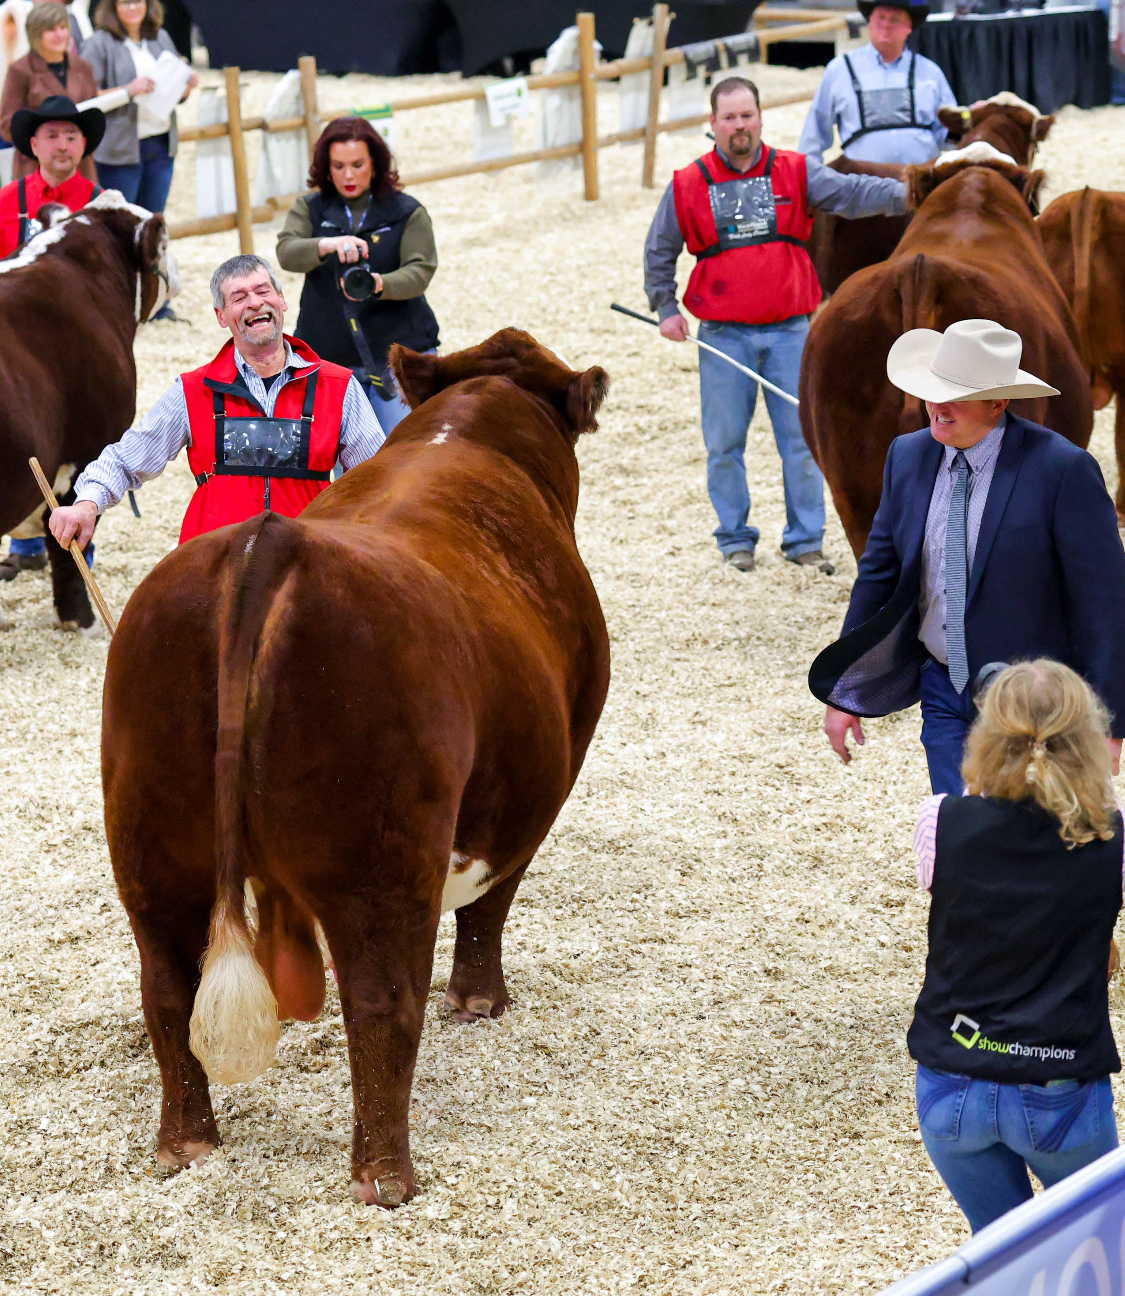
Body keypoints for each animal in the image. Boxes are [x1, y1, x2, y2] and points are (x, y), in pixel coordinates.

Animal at [100, 328, 612, 1207]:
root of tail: (268, 543)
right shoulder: (539, 783)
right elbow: (491, 902)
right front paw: (480, 1000)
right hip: (379, 861)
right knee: (382, 1000)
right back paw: (386, 1177)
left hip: (150, 843)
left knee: (167, 986)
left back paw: (186, 1145)